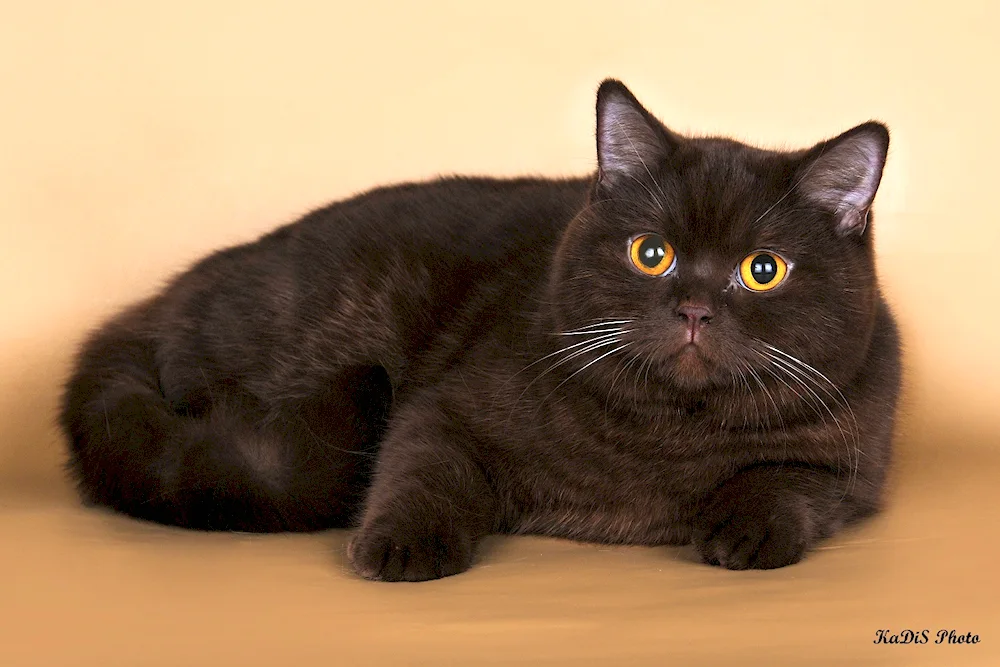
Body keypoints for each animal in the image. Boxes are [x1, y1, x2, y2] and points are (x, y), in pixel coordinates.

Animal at [58, 79, 900, 580]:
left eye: (763, 269)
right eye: (651, 253)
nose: (694, 307)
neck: (669, 433)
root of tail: (150, 307)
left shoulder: (854, 458)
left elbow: (788, 478)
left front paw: (748, 530)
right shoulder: (445, 406)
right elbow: (425, 465)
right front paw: (404, 544)